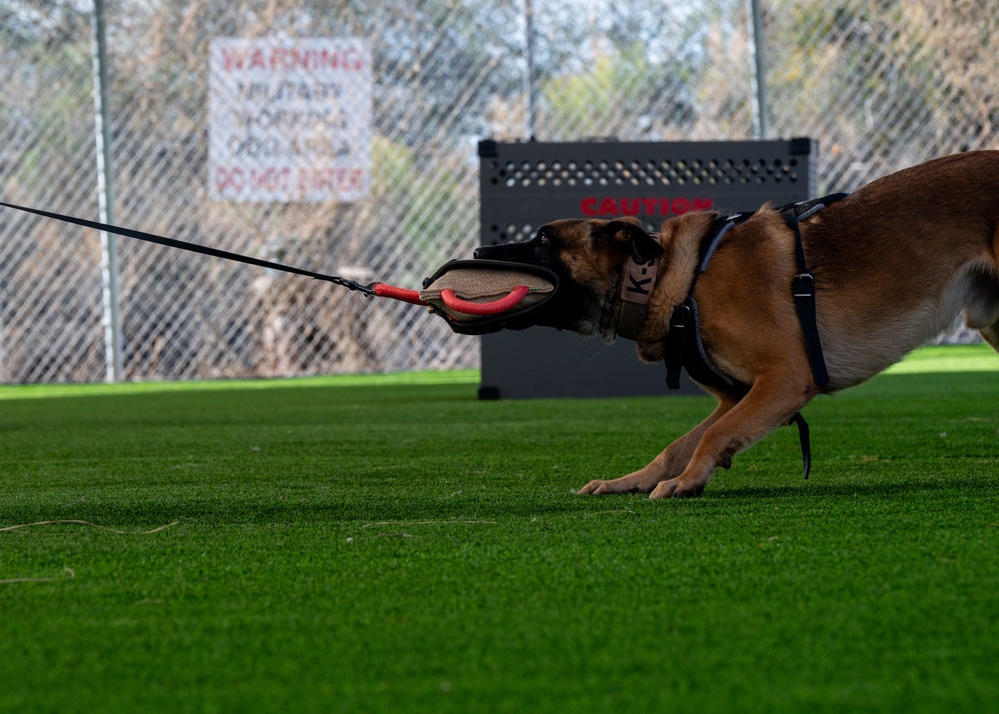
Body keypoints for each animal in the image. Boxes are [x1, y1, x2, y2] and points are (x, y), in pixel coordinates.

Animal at [470, 150, 999, 496]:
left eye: (543, 239)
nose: (476, 252)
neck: (674, 280)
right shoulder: (739, 396)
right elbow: (677, 444)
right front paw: (632, 481)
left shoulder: (785, 380)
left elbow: (711, 435)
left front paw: (687, 482)